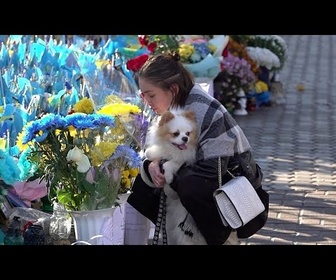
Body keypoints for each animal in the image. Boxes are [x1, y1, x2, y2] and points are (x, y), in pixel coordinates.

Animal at [141, 108, 207, 244]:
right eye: (176, 134)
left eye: (188, 133)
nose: (185, 138)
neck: (174, 151)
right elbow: (150, 153)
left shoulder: (184, 160)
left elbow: (169, 165)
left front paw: (168, 179)